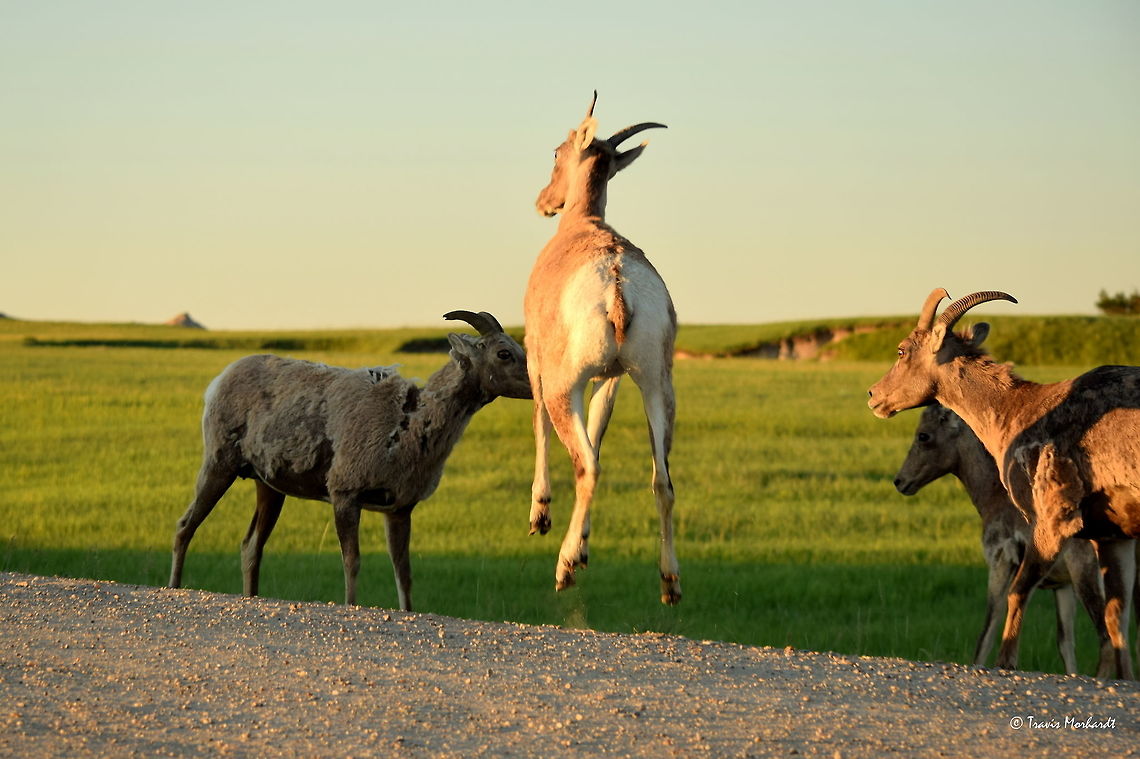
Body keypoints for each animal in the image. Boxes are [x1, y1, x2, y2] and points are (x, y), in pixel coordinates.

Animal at [168, 310, 531, 611]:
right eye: (503, 353)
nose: (536, 382)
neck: (406, 427)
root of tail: (216, 384)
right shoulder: (345, 493)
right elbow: (352, 562)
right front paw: (350, 605)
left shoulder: (400, 508)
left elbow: (404, 572)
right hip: (219, 463)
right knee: (186, 525)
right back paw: (173, 588)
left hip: (268, 485)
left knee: (250, 546)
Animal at [524, 91, 680, 603]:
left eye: (556, 152)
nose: (544, 202)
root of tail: (616, 283)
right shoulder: (611, 379)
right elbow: (599, 425)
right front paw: (585, 542)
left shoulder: (535, 360)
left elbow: (540, 423)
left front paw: (541, 516)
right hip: (655, 387)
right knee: (662, 480)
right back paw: (670, 584)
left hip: (564, 385)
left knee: (587, 465)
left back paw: (565, 568)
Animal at [895, 401, 1108, 674]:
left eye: (924, 435)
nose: (900, 481)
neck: (994, 496)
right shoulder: (1061, 587)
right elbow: (1066, 645)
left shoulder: (1000, 563)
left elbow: (987, 631)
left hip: (1088, 577)